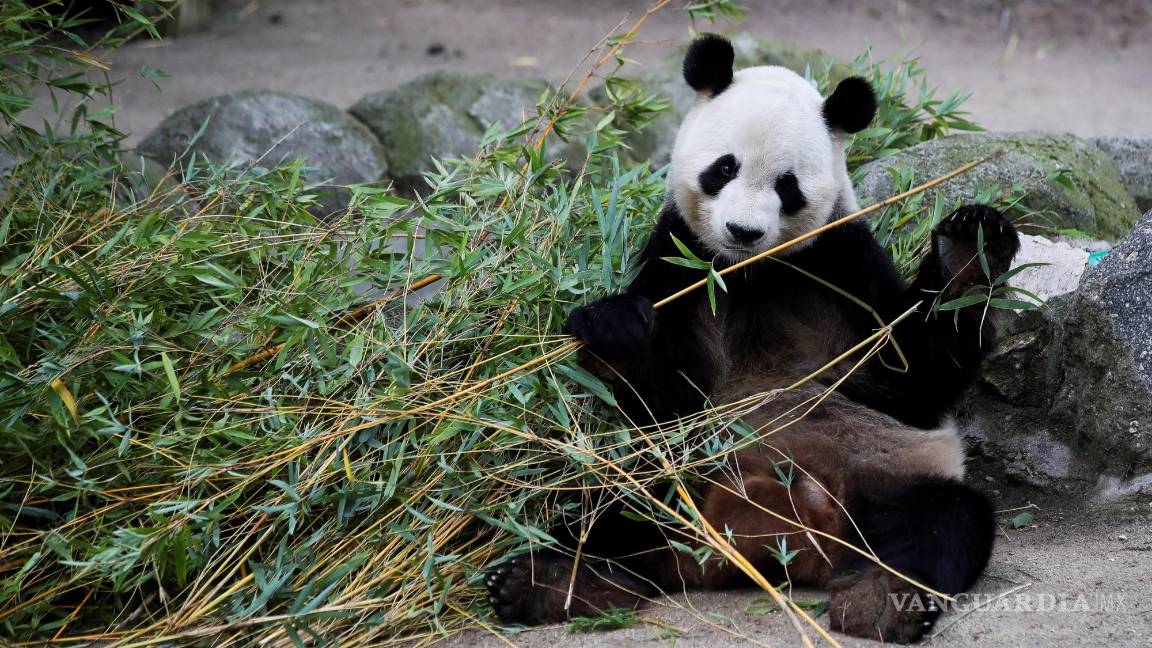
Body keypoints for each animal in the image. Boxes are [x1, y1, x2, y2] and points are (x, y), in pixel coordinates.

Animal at [486, 34, 1019, 643]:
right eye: (724, 168)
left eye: (787, 186)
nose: (743, 231)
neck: (750, 273)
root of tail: (770, 541)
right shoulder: (680, 261)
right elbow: (665, 402)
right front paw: (615, 329)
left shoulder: (841, 261)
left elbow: (915, 381)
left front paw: (969, 249)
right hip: (678, 475)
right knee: (611, 499)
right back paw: (553, 582)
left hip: (885, 479)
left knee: (945, 521)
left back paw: (881, 600)